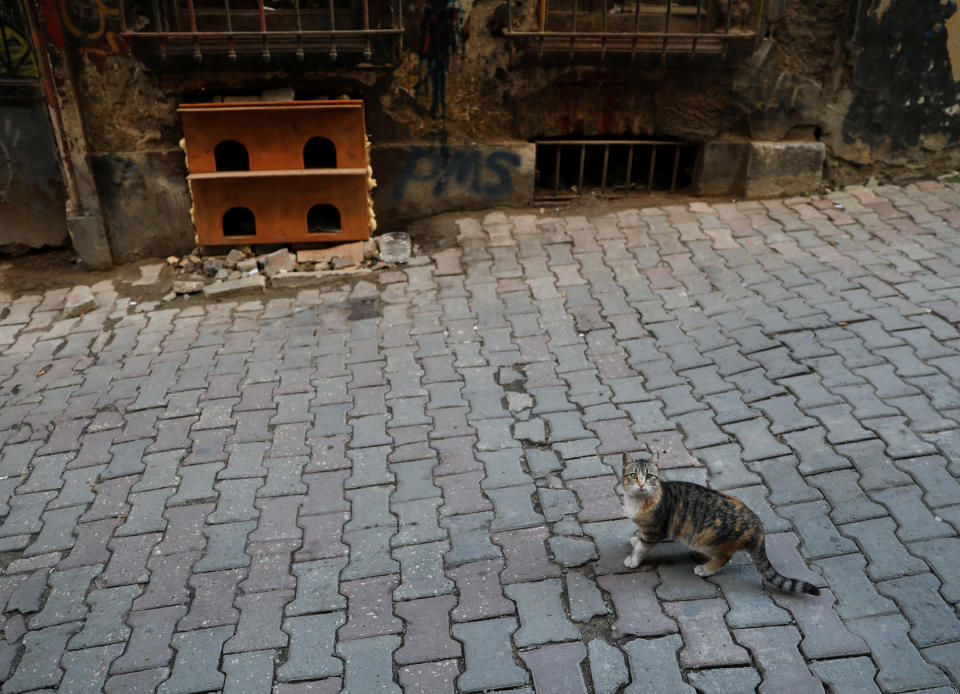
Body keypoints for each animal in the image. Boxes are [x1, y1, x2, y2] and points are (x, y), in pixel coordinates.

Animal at [624, 454, 816, 596]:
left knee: (725, 557)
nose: (641, 484)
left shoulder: (654, 531)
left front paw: (633, 559)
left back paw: (705, 569)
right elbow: (639, 539)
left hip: (707, 540)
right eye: (633, 475)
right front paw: (635, 540)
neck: (637, 501)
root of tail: (757, 523)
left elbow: (641, 547)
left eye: (649, 476)